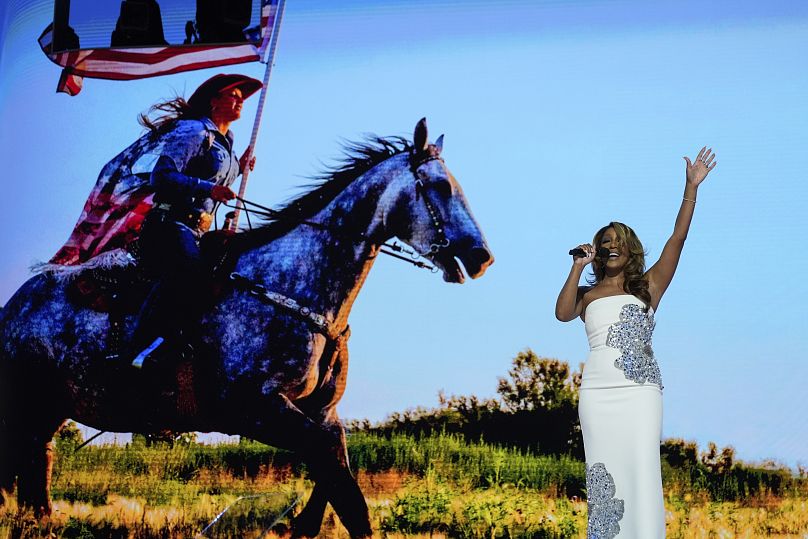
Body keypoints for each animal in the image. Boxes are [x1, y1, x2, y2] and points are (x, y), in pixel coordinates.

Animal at [0, 119, 492, 539]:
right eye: (440, 186)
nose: (481, 256)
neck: (292, 287)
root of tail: (14, 306)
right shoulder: (254, 410)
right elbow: (344, 489)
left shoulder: (321, 413)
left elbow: (334, 465)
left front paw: (304, 526)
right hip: (26, 401)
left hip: (51, 406)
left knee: (36, 463)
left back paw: (41, 519)